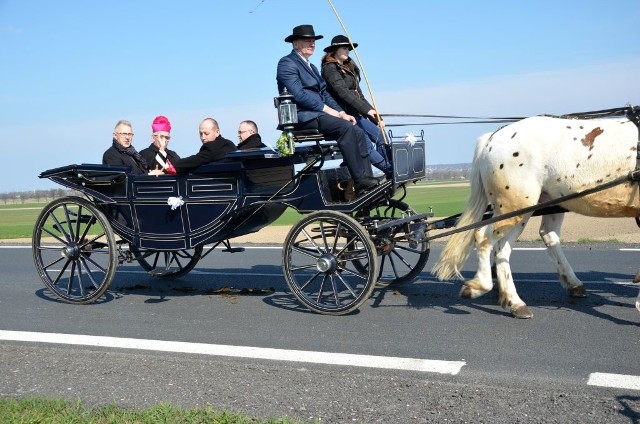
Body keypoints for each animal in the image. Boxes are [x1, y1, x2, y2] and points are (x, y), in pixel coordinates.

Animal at [430, 107, 640, 320]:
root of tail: (494, 136)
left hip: (530, 207)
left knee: (509, 247)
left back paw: (516, 302)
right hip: (514, 206)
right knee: (485, 238)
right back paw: (483, 287)